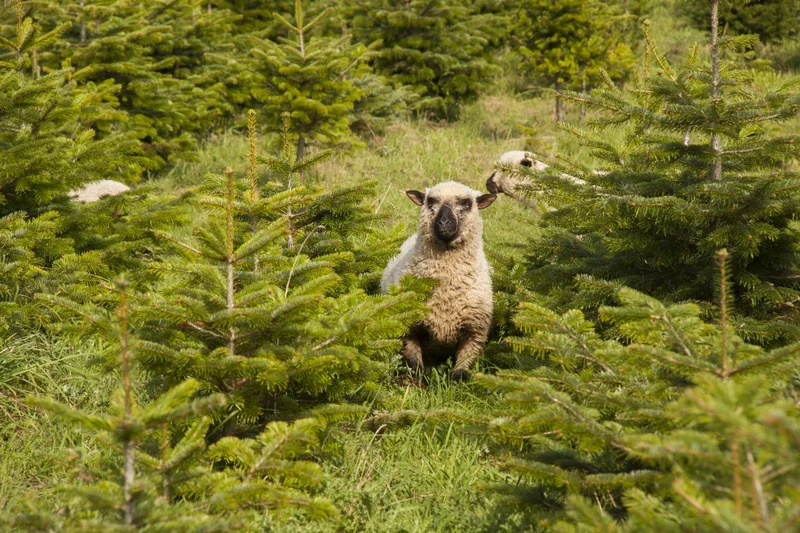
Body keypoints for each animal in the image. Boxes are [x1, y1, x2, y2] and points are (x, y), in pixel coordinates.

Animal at [381, 181, 496, 382]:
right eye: (431, 201)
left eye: (467, 203)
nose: (444, 222)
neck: (446, 292)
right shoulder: (409, 326)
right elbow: (415, 365)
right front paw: (417, 383)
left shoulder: (474, 331)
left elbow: (462, 369)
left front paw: (456, 384)